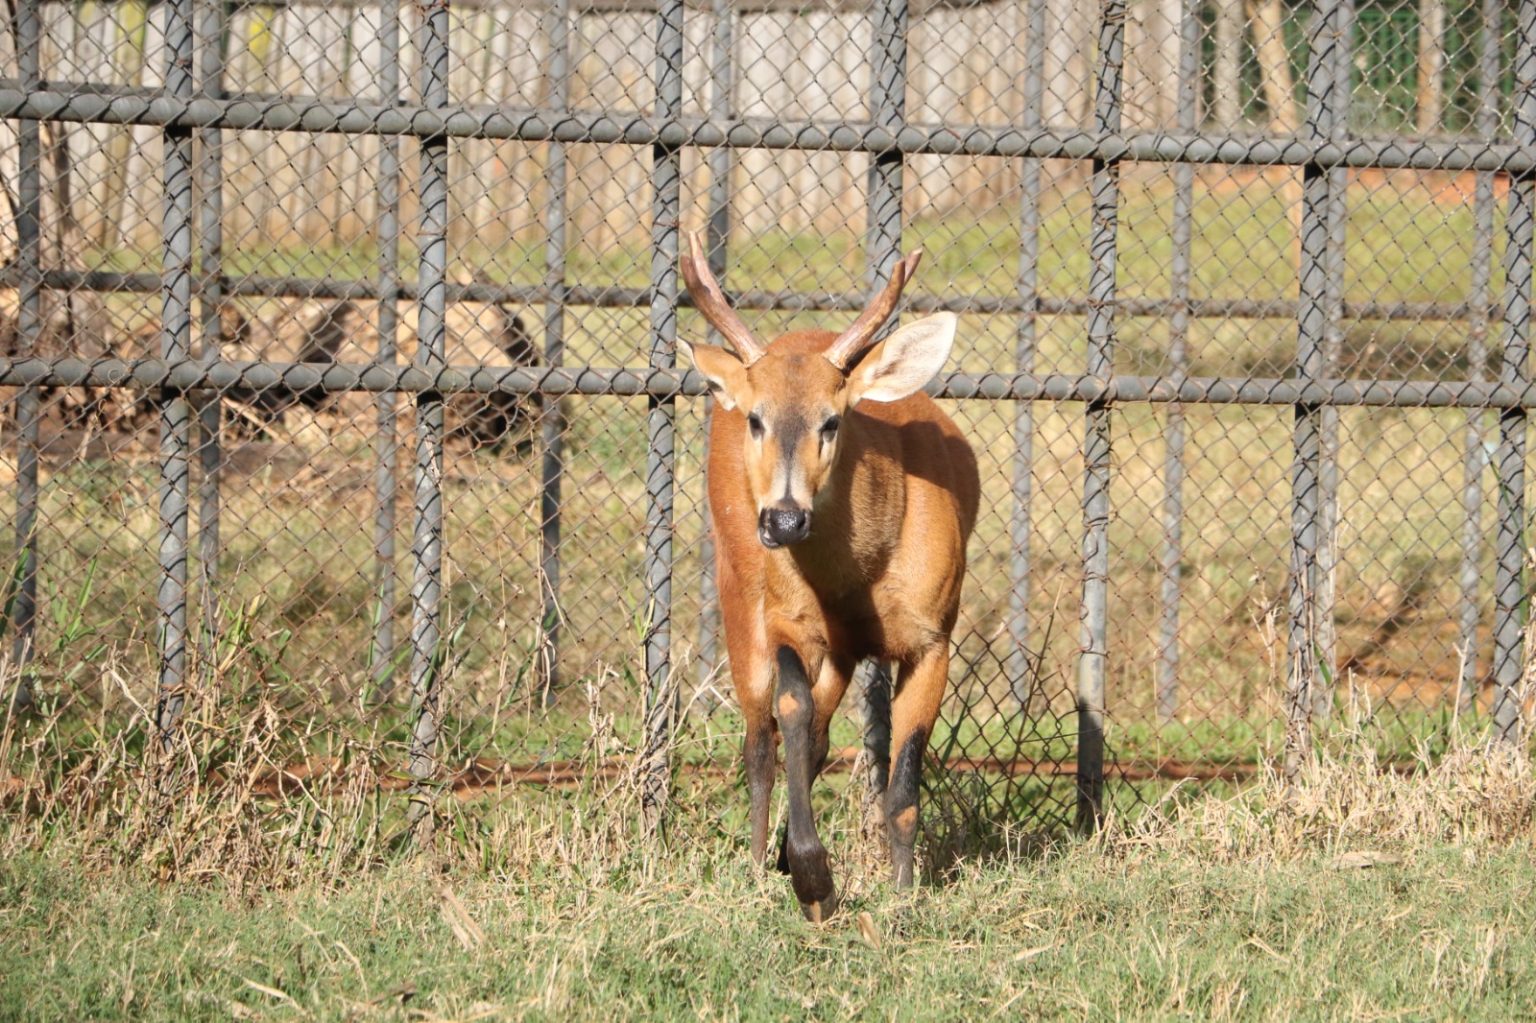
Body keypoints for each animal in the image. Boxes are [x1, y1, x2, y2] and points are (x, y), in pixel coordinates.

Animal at [681, 233, 976, 915]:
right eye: (757, 419)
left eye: (832, 419)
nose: (785, 521)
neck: (863, 576)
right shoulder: (789, 619)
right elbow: (788, 717)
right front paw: (813, 876)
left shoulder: (934, 634)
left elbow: (903, 782)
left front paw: (903, 893)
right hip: (738, 592)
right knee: (761, 738)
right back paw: (762, 861)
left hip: (842, 652)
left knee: (814, 733)